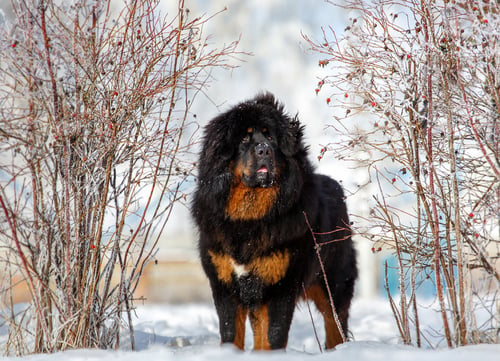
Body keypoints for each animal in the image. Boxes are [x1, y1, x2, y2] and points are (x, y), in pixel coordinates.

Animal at [189, 93, 358, 348]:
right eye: (244, 138)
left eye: (270, 137)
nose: (264, 150)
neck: (249, 219)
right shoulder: (225, 285)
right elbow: (232, 334)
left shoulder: (280, 286)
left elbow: (273, 336)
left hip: (333, 286)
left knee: (336, 327)